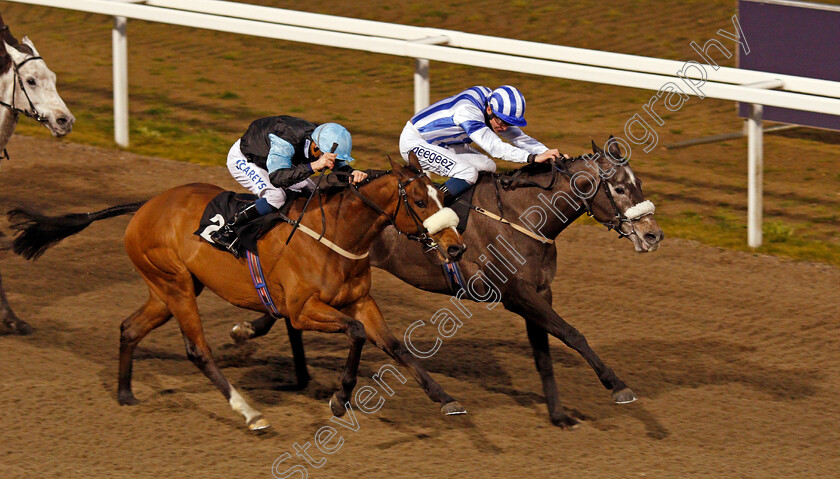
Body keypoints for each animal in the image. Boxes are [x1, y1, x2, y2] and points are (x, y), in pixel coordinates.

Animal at [8, 154, 466, 432]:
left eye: (440, 194)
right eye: (420, 201)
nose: (456, 247)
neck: (335, 235)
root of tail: (146, 205)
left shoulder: (360, 301)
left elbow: (395, 346)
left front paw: (443, 396)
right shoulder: (302, 309)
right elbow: (354, 334)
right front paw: (339, 398)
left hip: (165, 289)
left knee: (129, 328)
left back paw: (125, 394)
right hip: (176, 286)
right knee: (197, 350)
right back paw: (249, 413)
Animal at [230, 139, 664, 428]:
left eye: (639, 182)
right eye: (620, 188)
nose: (654, 235)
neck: (524, 217)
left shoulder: (538, 292)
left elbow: (544, 353)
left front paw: (558, 414)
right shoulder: (518, 294)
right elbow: (573, 334)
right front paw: (617, 385)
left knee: (285, 309)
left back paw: (257, 336)